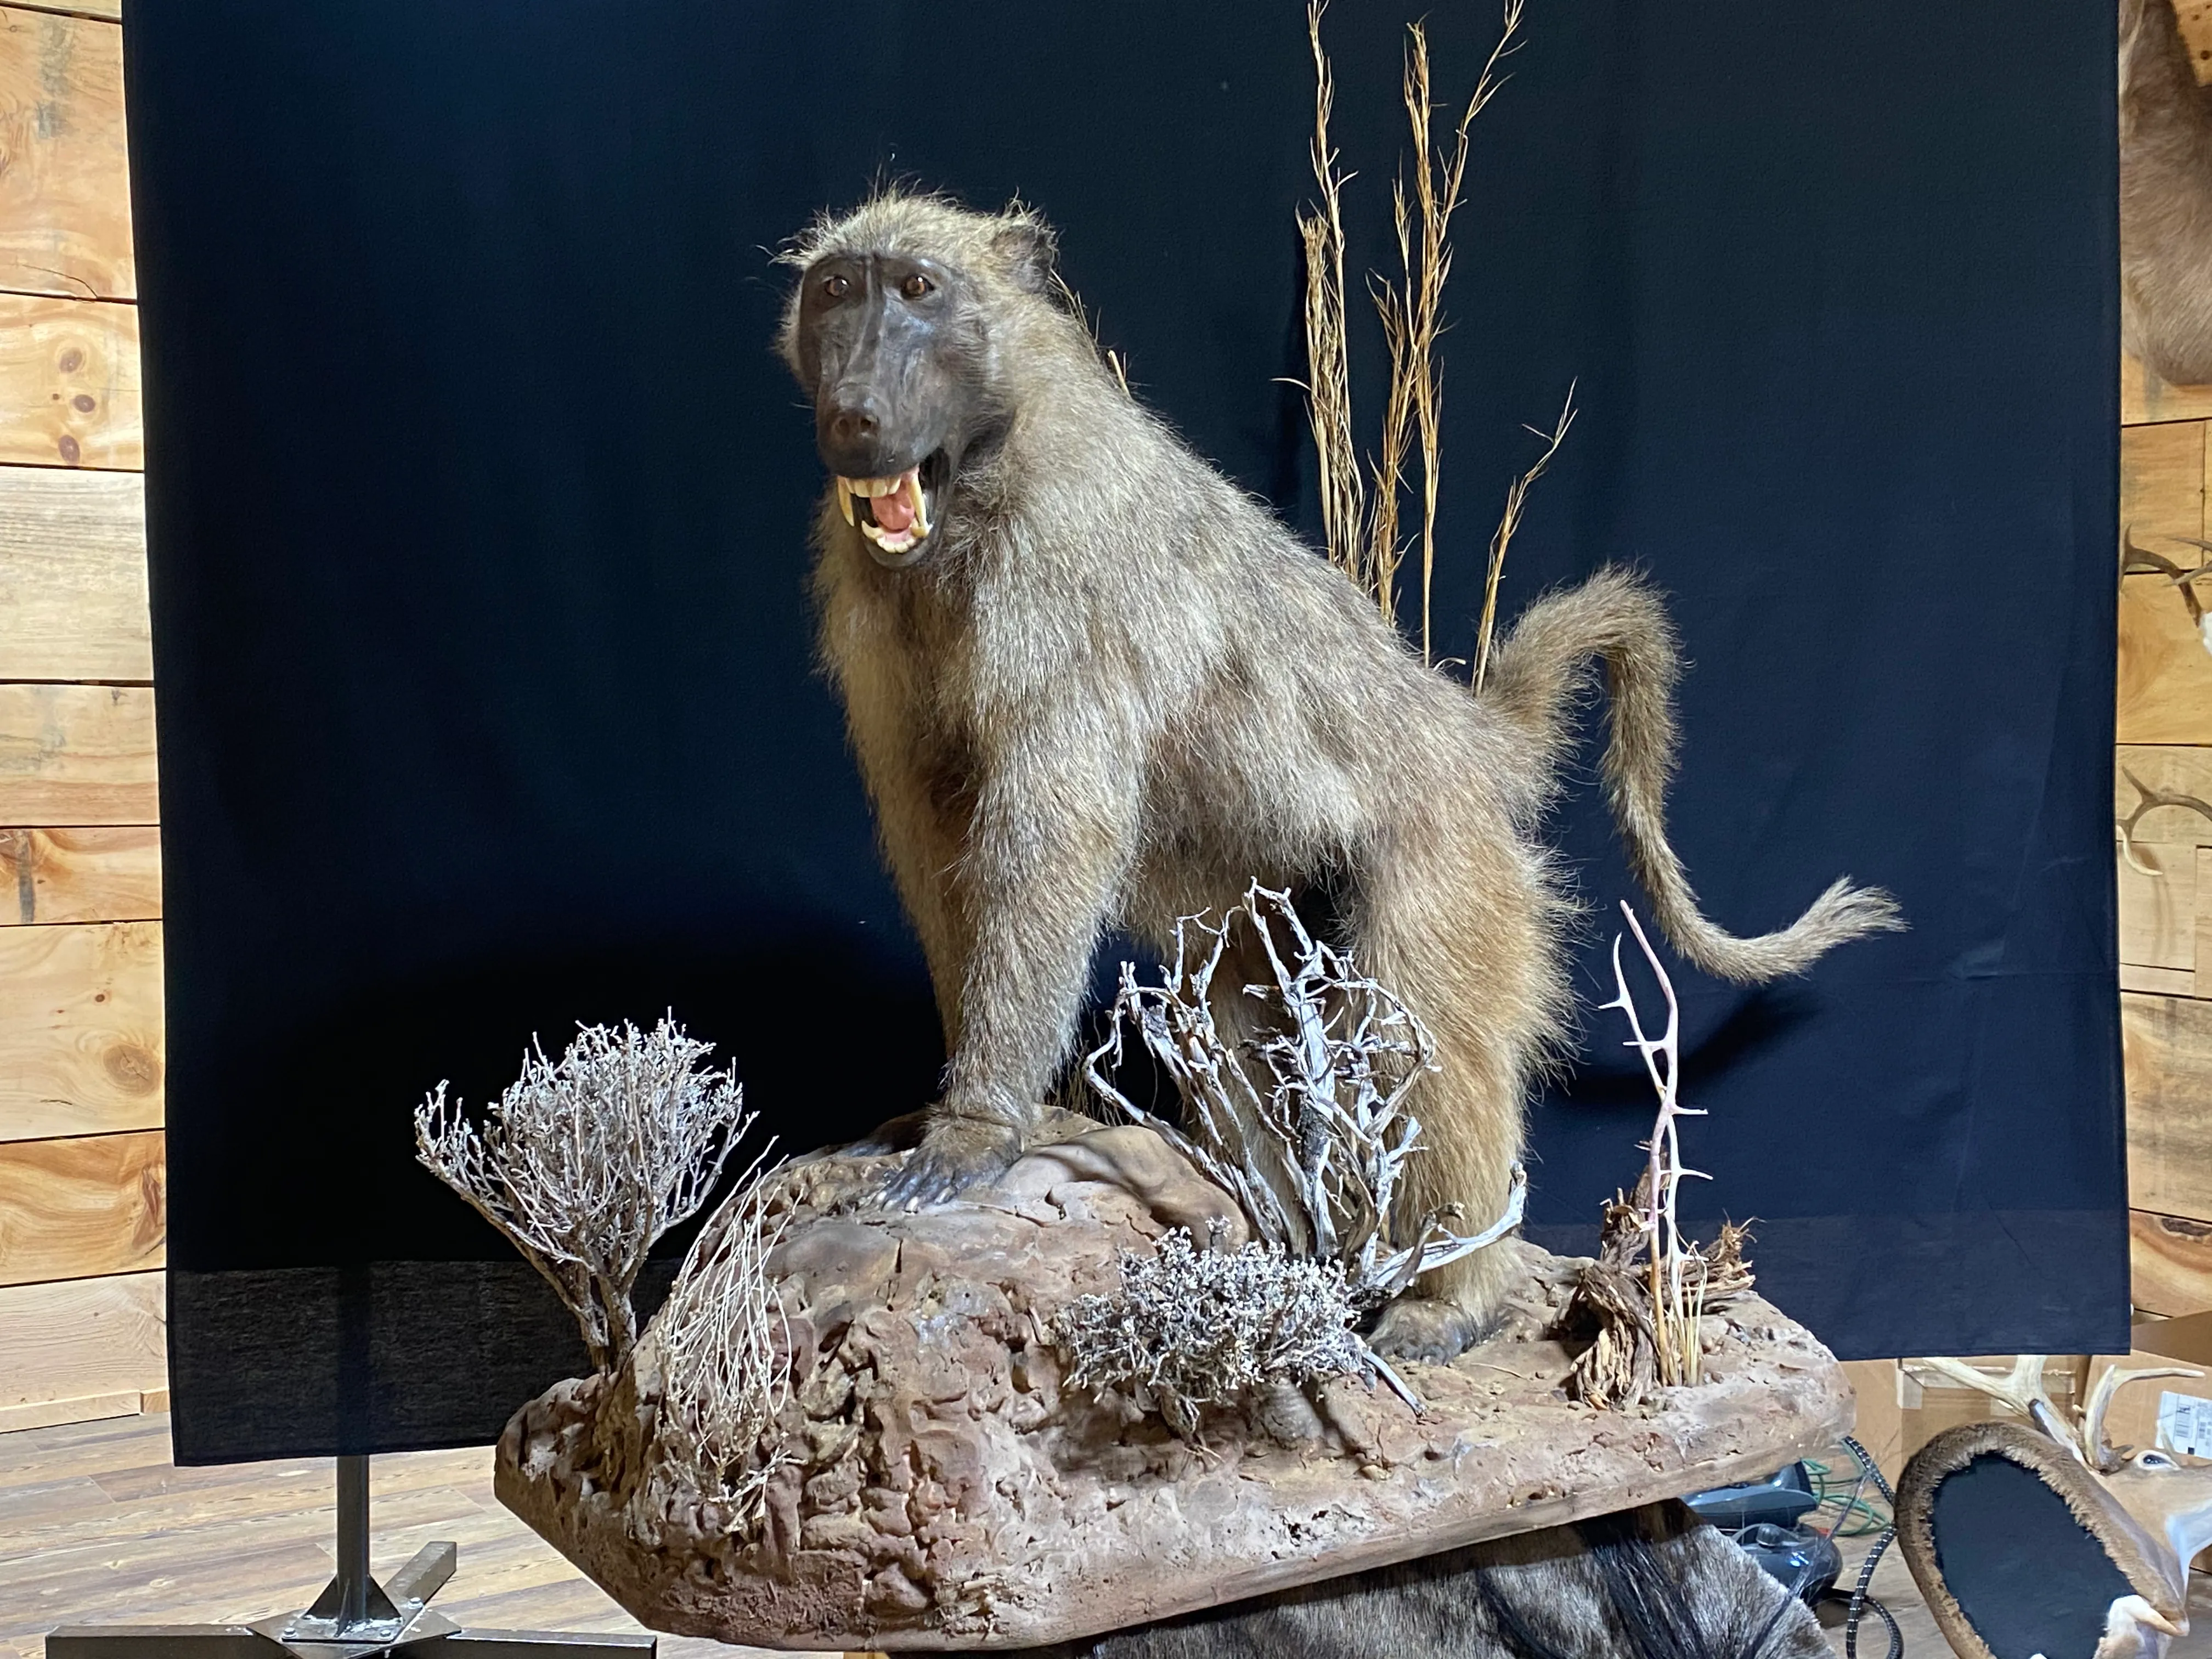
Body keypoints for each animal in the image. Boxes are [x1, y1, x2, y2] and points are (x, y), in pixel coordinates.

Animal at [778, 192, 1899, 1361]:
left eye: (917, 289)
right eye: (836, 291)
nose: (855, 415)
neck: (990, 467)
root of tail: (1454, 725)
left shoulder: (1061, 578)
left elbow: (1052, 844)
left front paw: (974, 1126)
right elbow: (937, 835)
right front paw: (942, 1111)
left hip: (1451, 856)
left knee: (1426, 1027)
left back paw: (1455, 1294)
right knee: (1244, 1026)